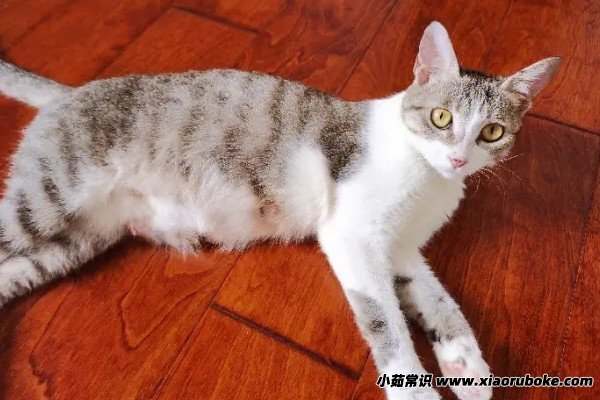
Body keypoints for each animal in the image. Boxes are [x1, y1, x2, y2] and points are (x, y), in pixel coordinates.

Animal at [0, 21, 559, 400]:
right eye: (441, 118)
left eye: (492, 132)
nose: (459, 158)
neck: (427, 178)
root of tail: (70, 93)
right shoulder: (353, 237)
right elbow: (387, 321)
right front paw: (416, 388)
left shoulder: (400, 250)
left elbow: (437, 300)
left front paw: (467, 367)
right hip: (45, 202)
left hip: (72, 241)